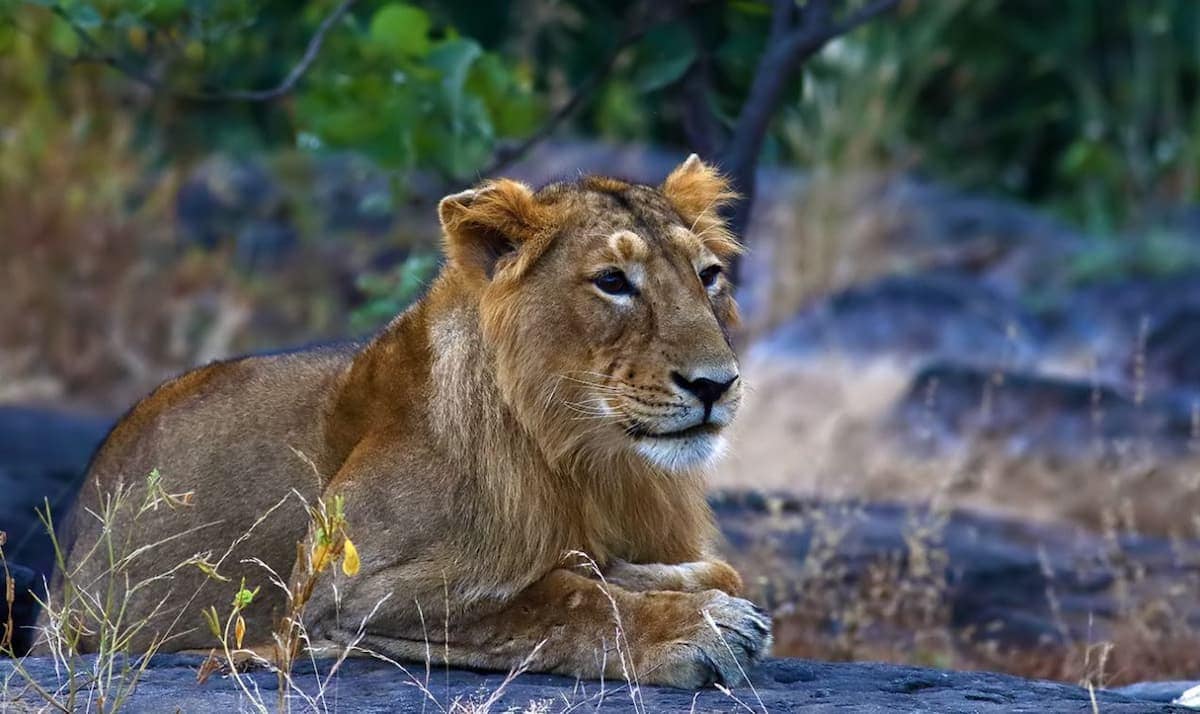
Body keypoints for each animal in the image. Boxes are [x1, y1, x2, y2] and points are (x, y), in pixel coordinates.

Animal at [46, 155, 770, 688]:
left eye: (708, 275)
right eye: (613, 281)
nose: (716, 384)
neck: (588, 455)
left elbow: (637, 572)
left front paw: (693, 588)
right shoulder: (337, 600)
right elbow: (555, 601)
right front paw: (701, 629)